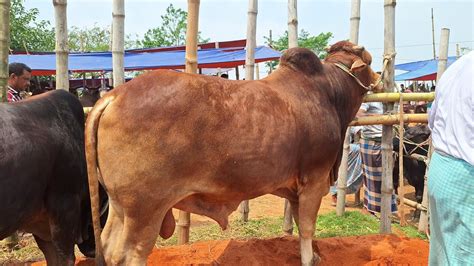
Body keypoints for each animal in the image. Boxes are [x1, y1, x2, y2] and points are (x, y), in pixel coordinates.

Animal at [85, 40, 382, 264]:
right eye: (367, 60)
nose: (379, 77)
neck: (329, 92)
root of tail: (114, 96)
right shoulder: (314, 179)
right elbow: (308, 227)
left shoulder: (297, 188)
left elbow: (299, 226)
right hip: (145, 209)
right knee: (128, 255)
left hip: (120, 206)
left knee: (108, 247)